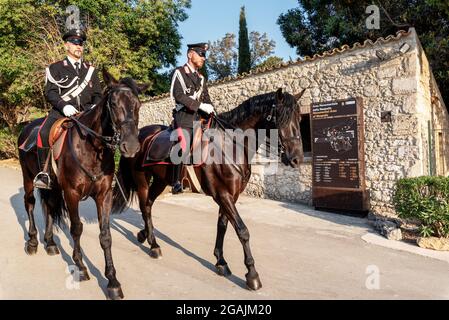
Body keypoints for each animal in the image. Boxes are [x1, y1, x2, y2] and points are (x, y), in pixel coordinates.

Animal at [17, 70, 148, 300]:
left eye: (138, 105)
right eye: (113, 103)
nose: (131, 146)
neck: (92, 147)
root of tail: (27, 128)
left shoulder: (103, 195)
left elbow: (105, 236)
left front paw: (113, 282)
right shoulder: (72, 193)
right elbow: (76, 228)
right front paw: (80, 267)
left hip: (52, 188)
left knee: (49, 207)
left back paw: (50, 243)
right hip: (28, 178)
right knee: (30, 204)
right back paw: (32, 243)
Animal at [111, 87, 304, 290]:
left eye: (299, 118)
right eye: (281, 118)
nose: (297, 158)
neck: (231, 146)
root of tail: (140, 134)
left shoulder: (230, 196)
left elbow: (222, 226)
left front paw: (221, 262)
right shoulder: (223, 195)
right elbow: (242, 231)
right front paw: (252, 274)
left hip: (160, 181)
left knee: (148, 205)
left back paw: (145, 236)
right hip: (142, 180)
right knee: (144, 206)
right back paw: (153, 245)